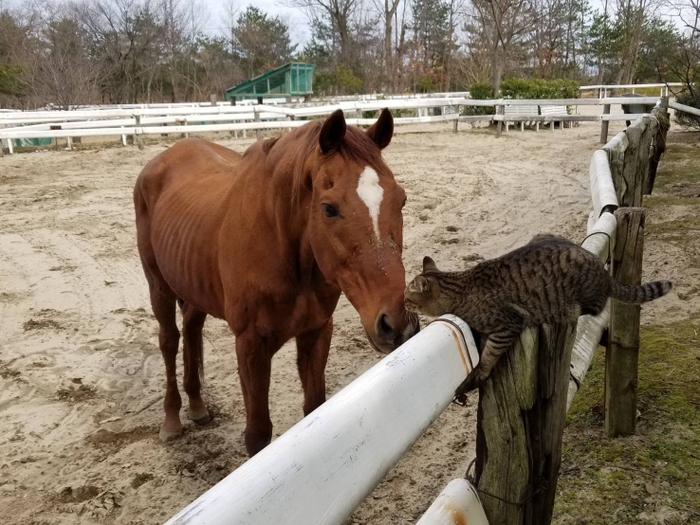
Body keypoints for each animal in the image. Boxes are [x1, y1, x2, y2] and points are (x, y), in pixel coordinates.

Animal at [133, 107, 418, 454]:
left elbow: (314, 408)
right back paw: (172, 419)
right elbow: (258, 435)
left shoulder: (316, 330)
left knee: (191, 329)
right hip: (158, 286)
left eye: (401, 200)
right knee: (169, 339)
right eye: (329, 208)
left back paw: (197, 405)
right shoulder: (250, 346)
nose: (396, 323)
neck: (280, 241)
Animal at [404, 234, 672, 398]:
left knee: (596, 307)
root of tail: (605, 275)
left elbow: (489, 354)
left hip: (579, 297)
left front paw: (480, 372)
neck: (460, 289)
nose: (402, 305)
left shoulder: (508, 324)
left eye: (407, 298)